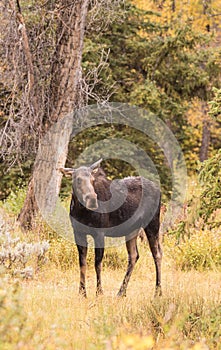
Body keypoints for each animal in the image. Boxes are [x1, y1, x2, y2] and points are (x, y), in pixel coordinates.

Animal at [58, 160, 162, 296]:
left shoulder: (99, 233)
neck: (81, 212)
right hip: (132, 230)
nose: (92, 200)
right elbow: (82, 263)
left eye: (92, 179)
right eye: (78, 179)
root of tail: (159, 190)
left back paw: (157, 292)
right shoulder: (78, 232)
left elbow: (97, 263)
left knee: (157, 254)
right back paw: (121, 292)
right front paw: (82, 292)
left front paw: (99, 292)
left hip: (153, 224)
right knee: (134, 255)